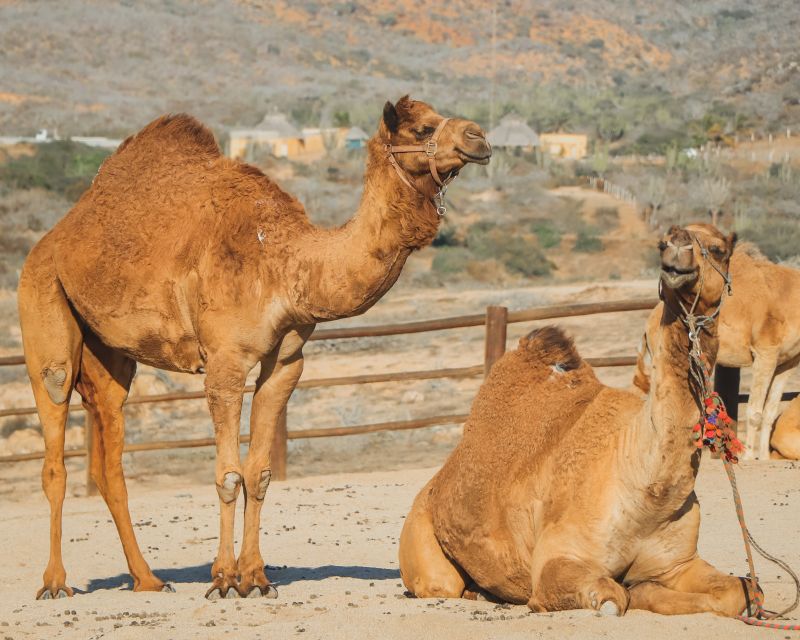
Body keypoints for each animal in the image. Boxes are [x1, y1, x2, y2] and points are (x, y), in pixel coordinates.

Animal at [18, 96, 490, 600]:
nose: (480, 138)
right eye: (423, 128)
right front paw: (224, 579)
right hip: (44, 303)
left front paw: (256, 577)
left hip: (110, 352)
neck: (288, 264)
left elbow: (259, 473)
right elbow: (228, 474)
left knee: (110, 449)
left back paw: (147, 579)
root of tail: (55, 235)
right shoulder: (225, 362)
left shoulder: (285, 363)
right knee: (54, 432)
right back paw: (55, 583)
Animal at [400, 224, 756, 616]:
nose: (677, 248)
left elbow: (739, 591)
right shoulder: (557, 561)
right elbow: (613, 598)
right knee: (442, 582)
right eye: (661, 243)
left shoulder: (678, 563)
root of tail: (432, 487)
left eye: (718, 249)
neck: (645, 490)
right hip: (423, 546)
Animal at [636, 242, 800, 458]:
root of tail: (649, 323)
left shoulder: (788, 362)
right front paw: (749, 456)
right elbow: (755, 412)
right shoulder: (765, 353)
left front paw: (764, 457)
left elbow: (770, 412)